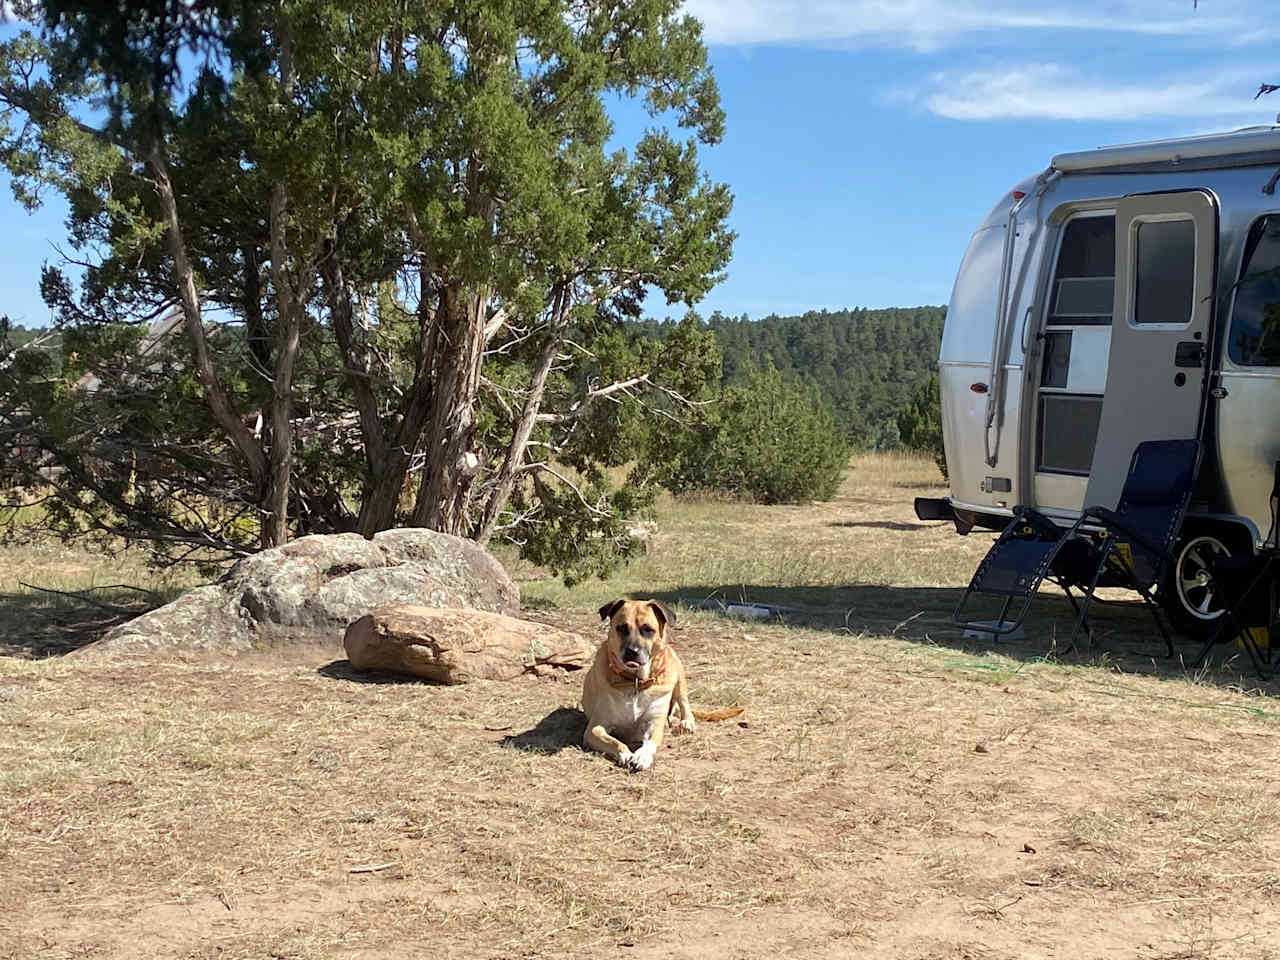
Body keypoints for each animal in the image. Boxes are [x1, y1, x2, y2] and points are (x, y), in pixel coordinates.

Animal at [583, 601, 696, 773]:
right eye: (622, 628)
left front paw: (642, 756)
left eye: (648, 629)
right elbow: (614, 741)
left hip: (677, 670)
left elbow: (649, 744)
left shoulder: (654, 724)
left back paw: (686, 722)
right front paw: (626, 754)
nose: (632, 651)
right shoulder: (595, 728)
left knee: (683, 700)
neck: (635, 681)